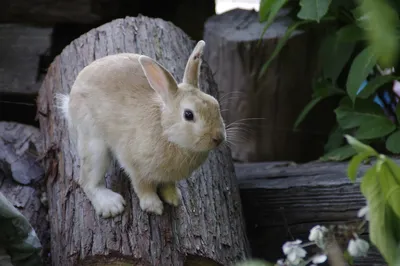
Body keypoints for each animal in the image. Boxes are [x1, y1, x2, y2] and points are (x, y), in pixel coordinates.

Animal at [55, 40, 227, 218]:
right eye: (188, 114)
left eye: (215, 103)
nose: (218, 138)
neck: (166, 131)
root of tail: (69, 104)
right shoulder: (135, 167)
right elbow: (143, 187)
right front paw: (154, 206)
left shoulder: (168, 177)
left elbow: (168, 184)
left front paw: (173, 198)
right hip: (94, 145)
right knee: (88, 181)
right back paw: (111, 205)